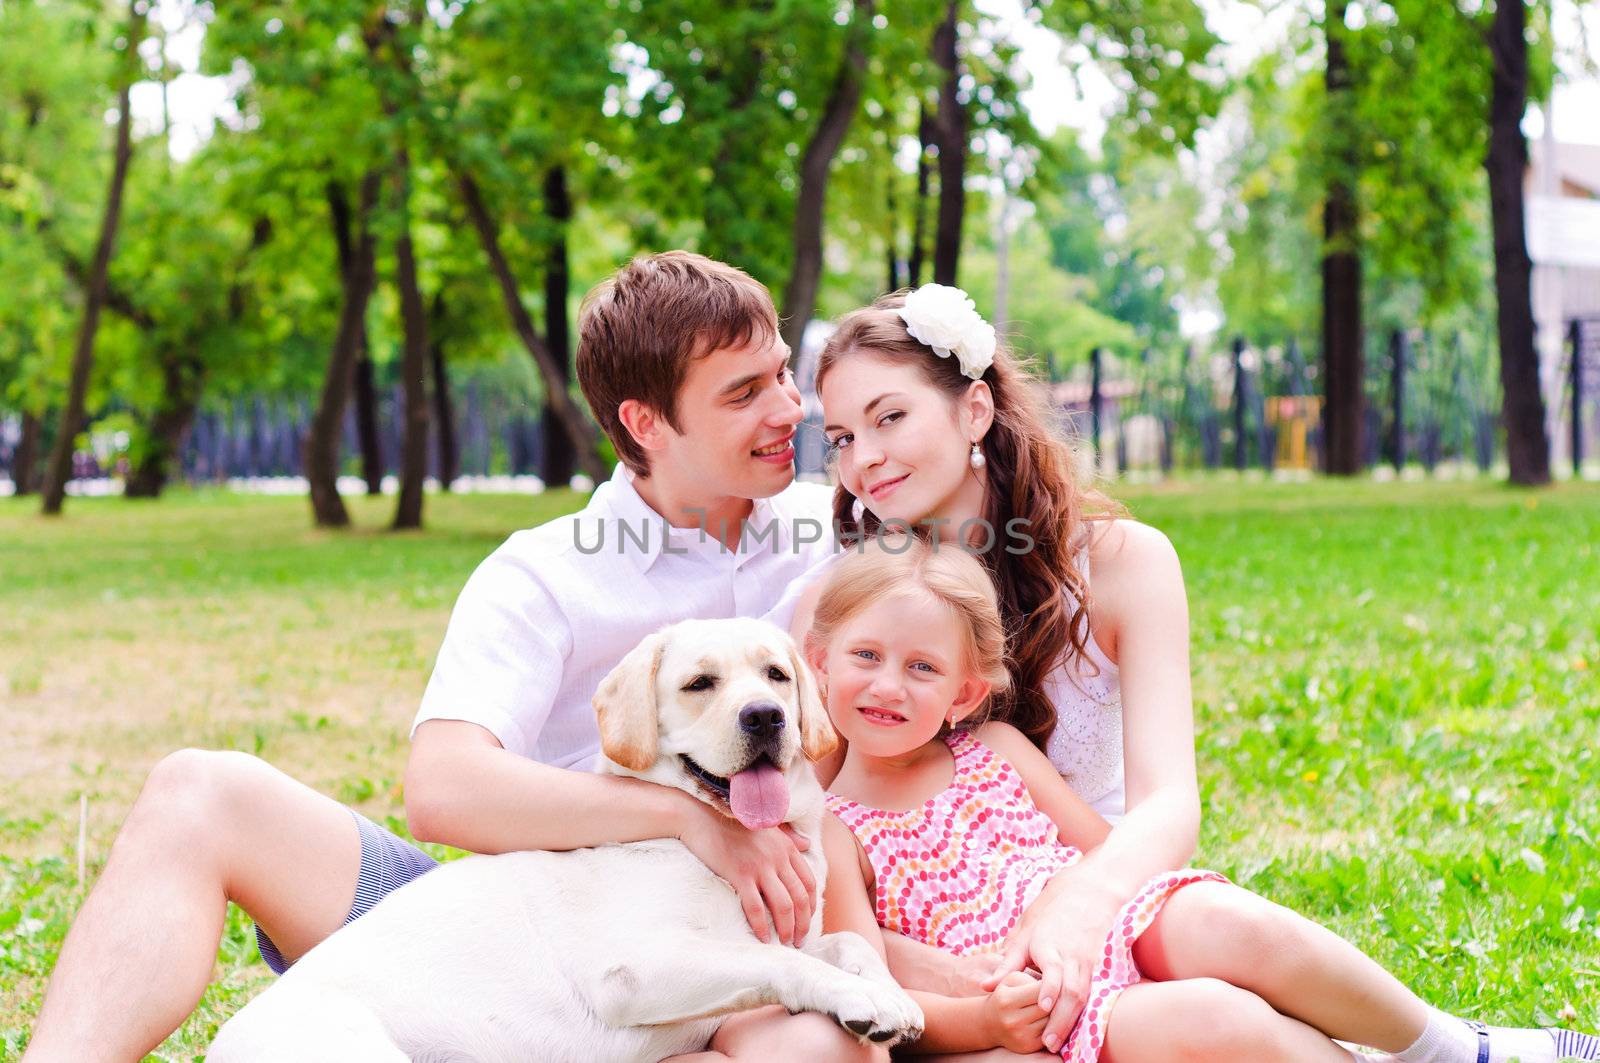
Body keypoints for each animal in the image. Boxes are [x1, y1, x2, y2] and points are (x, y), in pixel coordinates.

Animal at [209, 617, 928, 1056]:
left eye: (776, 674)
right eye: (700, 683)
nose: (765, 716)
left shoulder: (793, 934)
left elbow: (844, 945)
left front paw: (886, 993)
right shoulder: (634, 968)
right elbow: (780, 963)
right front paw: (858, 996)